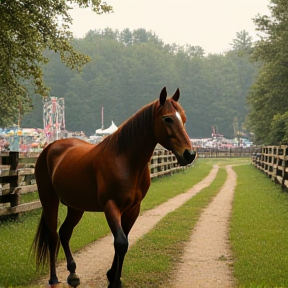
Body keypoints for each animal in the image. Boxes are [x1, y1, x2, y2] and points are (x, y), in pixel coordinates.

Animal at [32, 87, 197, 288]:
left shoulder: (133, 209)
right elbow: (120, 242)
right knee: (53, 236)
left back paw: (72, 273)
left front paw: (112, 275)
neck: (125, 160)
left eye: (184, 118)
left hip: (75, 206)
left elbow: (124, 240)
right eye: (168, 119)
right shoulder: (111, 206)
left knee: (65, 232)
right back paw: (54, 279)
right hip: (49, 199)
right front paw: (114, 281)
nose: (189, 154)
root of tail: (50, 148)